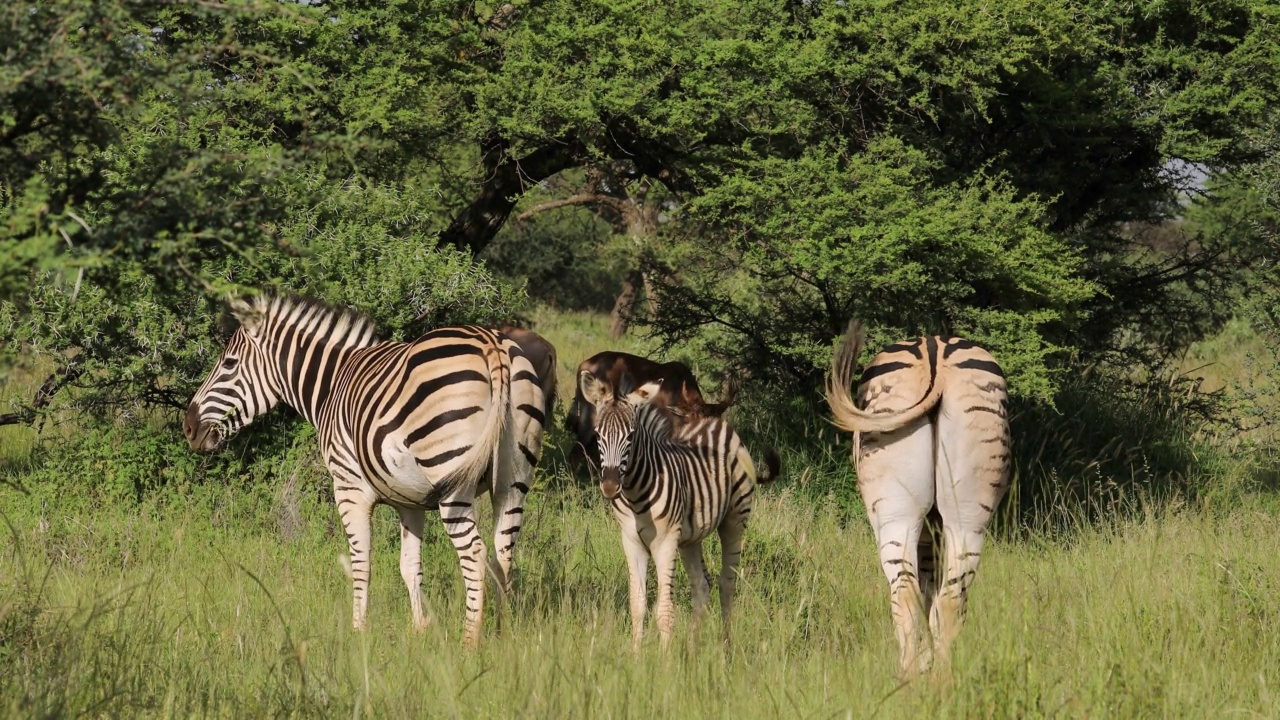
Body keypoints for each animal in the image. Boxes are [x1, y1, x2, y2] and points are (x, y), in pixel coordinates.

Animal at [180, 294, 545, 640]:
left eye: (229, 363)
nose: (188, 427)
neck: (332, 385)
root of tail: (490, 344)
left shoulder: (348, 487)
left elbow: (361, 563)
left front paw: (359, 631)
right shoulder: (409, 501)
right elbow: (409, 566)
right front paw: (420, 629)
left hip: (451, 477)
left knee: (475, 554)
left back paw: (470, 641)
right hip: (513, 479)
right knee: (503, 553)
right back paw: (502, 634)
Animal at [581, 366, 778, 648]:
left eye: (631, 435)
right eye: (598, 434)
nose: (609, 486)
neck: (635, 495)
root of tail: (716, 423)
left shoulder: (665, 542)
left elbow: (664, 611)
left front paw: (666, 659)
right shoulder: (631, 540)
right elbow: (637, 605)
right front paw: (636, 655)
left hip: (735, 520)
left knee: (727, 585)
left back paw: (726, 650)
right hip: (689, 538)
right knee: (701, 586)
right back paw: (693, 650)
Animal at [824, 317, 1013, 671]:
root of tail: (934, 350)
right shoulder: (933, 526)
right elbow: (931, 587)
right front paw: (929, 660)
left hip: (893, 514)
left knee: (904, 594)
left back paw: (908, 676)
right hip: (968, 514)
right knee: (949, 599)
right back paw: (942, 678)